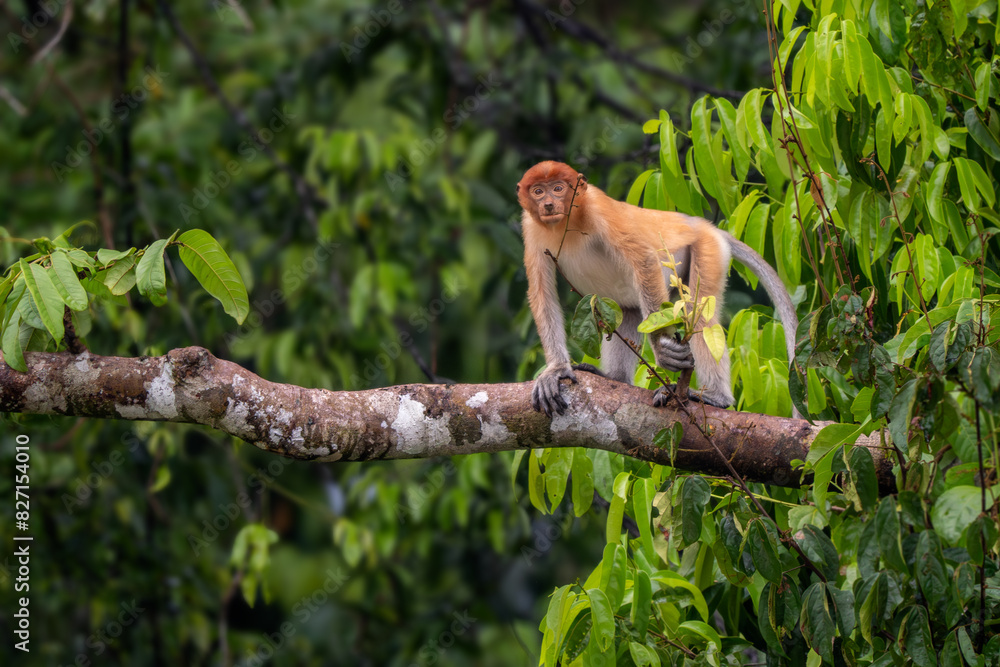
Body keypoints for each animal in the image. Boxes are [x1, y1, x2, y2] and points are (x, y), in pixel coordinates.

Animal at [516, 161, 799, 418]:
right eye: (538, 191)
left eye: (558, 188)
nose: (548, 205)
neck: (568, 222)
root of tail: (701, 225)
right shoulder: (530, 228)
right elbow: (542, 293)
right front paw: (556, 370)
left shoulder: (598, 208)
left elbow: (643, 259)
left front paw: (664, 353)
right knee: (627, 311)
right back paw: (614, 377)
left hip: (707, 249)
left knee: (701, 317)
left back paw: (715, 397)